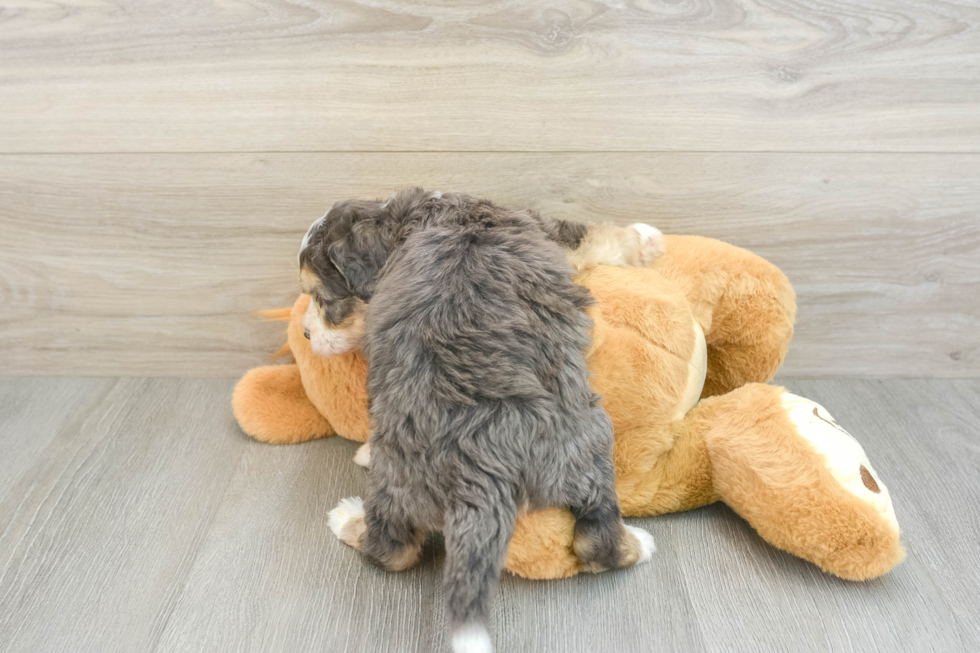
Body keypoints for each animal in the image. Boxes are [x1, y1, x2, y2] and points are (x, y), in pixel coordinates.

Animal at [294, 188, 656, 652]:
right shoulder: (547, 231)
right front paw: (649, 237)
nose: (305, 334)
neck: (410, 218)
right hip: (583, 444)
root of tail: (478, 466)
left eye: (324, 299)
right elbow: (594, 234)